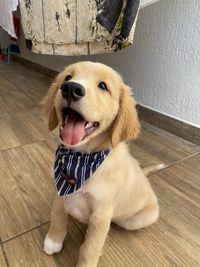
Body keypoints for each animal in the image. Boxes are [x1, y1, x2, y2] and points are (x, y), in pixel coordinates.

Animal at [43, 61, 159, 266]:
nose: (70, 88)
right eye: (67, 77)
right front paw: (53, 240)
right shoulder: (59, 189)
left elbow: (90, 248)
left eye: (103, 86)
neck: (80, 159)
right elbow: (57, 215)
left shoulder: (101, 214)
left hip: (138, 219)